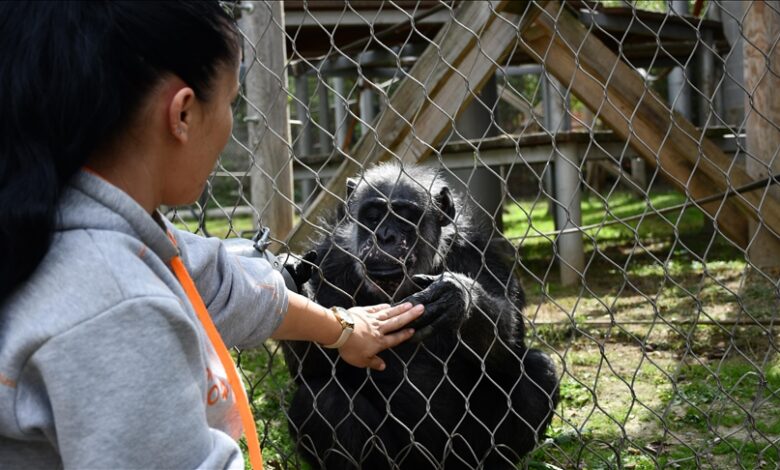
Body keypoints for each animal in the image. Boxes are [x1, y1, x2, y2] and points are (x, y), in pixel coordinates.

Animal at [284, 162, 556, 470]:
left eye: (404, 216)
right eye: (373, 216)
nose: (385, 236)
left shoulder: (477, 254)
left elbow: (510, 351)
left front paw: (456, 296)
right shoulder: (330, 262)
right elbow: (312, 370)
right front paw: (295, 284)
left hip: (464, 453)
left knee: (537, 369)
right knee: (322, 398)